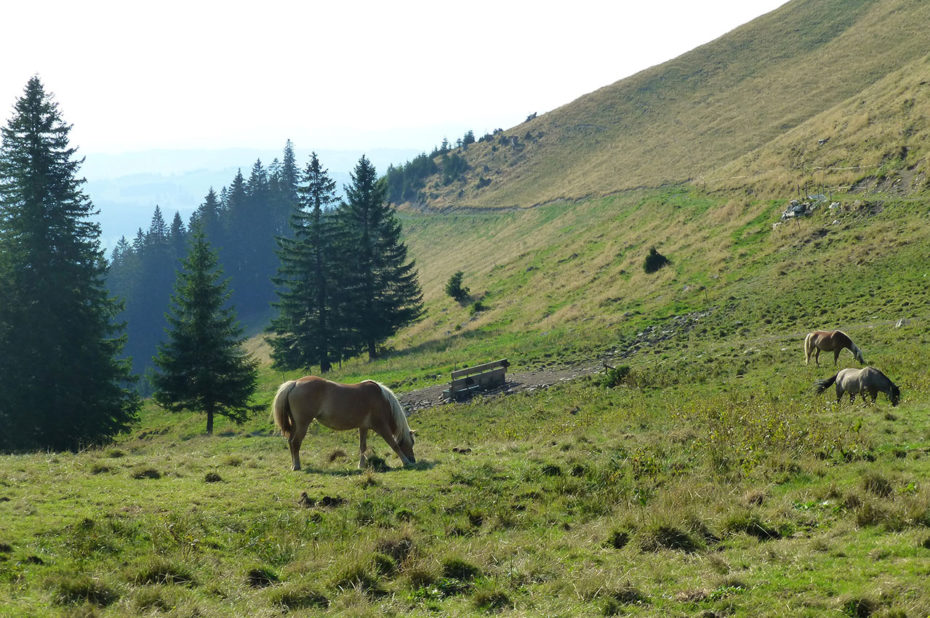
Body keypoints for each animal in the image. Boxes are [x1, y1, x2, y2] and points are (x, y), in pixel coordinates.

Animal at [268, 372, 414, 470]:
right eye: (411, 443)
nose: (413, 460)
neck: (381, 399)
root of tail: (295, 383)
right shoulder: (382, 427)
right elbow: (393, 444)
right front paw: (405, 462)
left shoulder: (363, 427)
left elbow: (362, 447)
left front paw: (361, 465)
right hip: (303, 424)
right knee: (295, 442)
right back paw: (297, 466)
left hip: (295, 424)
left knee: (290, 442)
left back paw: (293, 464)